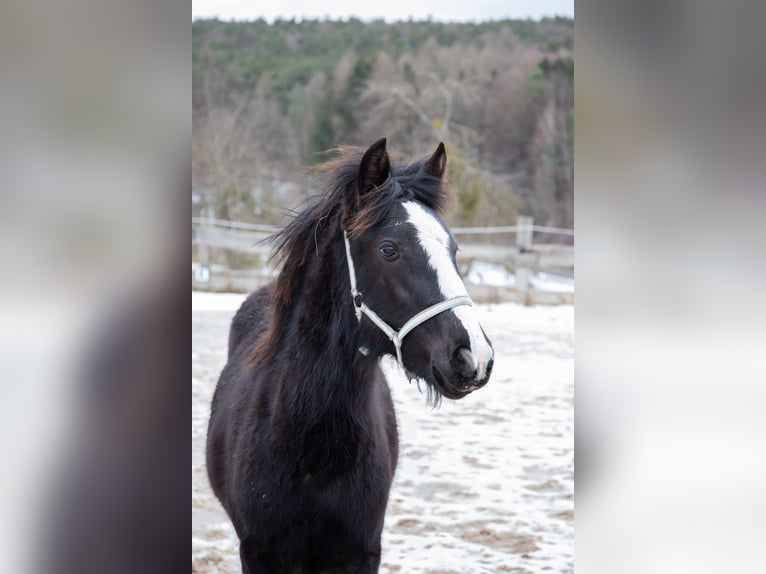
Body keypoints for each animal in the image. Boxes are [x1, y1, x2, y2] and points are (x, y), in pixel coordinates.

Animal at [206, 138, 494, 573]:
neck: (313, 447)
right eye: (389, 249)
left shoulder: (361, 551)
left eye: (454, 249)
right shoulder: (259, 552)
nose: (474, 356)